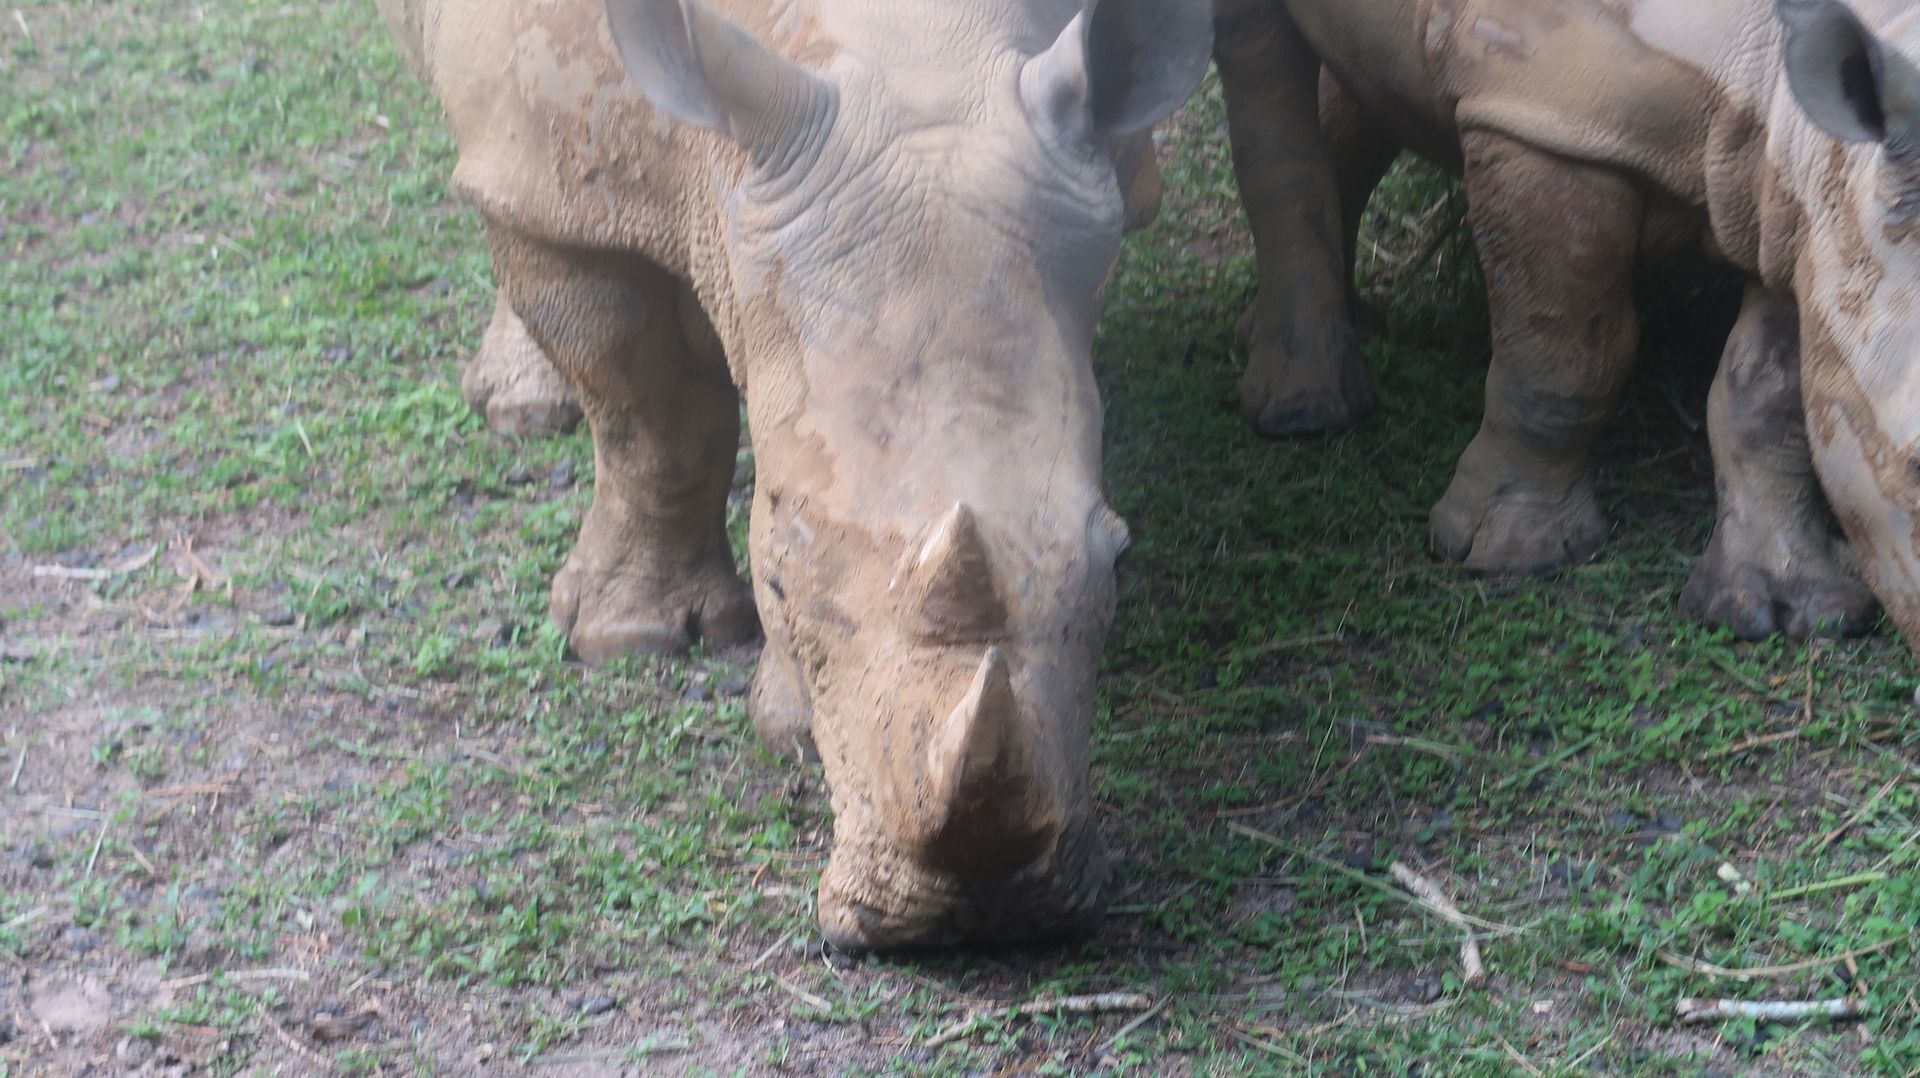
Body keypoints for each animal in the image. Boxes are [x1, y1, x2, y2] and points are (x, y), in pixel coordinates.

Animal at [373, 0, 1210, 949]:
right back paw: (522, 407)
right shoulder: (553, 163)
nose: (977, 913)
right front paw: (632, 641)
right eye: (775, 580)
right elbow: (646, 412)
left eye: (1117, 560)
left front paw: (789, 717)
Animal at [1213, 0, 1920, 643]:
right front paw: (1511, 556)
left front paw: (1791, 612)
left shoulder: (1805, 212)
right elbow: (1562, 358)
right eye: (1914, 469)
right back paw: (1304, 412)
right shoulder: (1545, 113)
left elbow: (1772, 390)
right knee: (1259, 64)